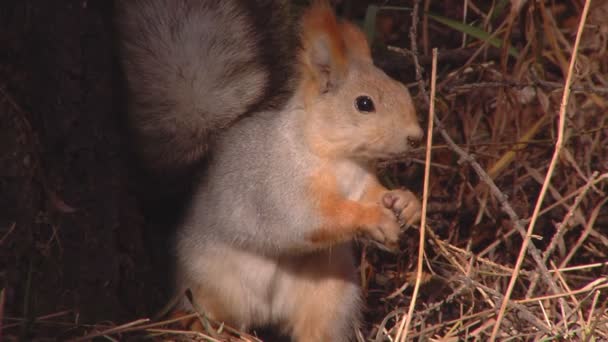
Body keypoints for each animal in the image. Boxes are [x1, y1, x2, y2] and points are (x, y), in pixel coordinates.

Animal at [117, 0, 422, 342]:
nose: (416, 137)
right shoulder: (282, 186)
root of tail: (268, 312)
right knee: (213, 312)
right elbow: (316, 218)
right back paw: (203, 326)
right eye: (364, 104)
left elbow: (375, 196)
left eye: (402, 89)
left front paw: (406, 204)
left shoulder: (362, 185)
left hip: (329, 295)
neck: (340, 160)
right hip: (207, 283)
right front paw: (373, 218)